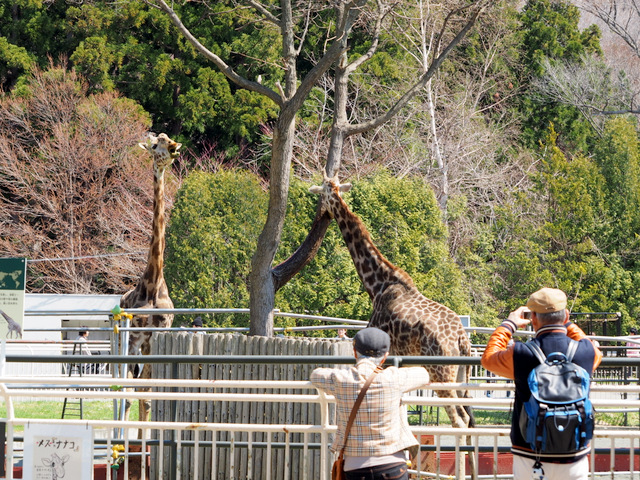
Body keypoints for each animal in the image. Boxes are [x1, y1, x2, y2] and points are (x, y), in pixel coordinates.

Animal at [310, 175, 476, 477]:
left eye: (323, 194)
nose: (321, 214)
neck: (377, 284)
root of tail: (461, 339)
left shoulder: (385, 359)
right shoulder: (403, 364)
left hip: (441, 373)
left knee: (458, 420)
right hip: (461, 375)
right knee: (470, 419)